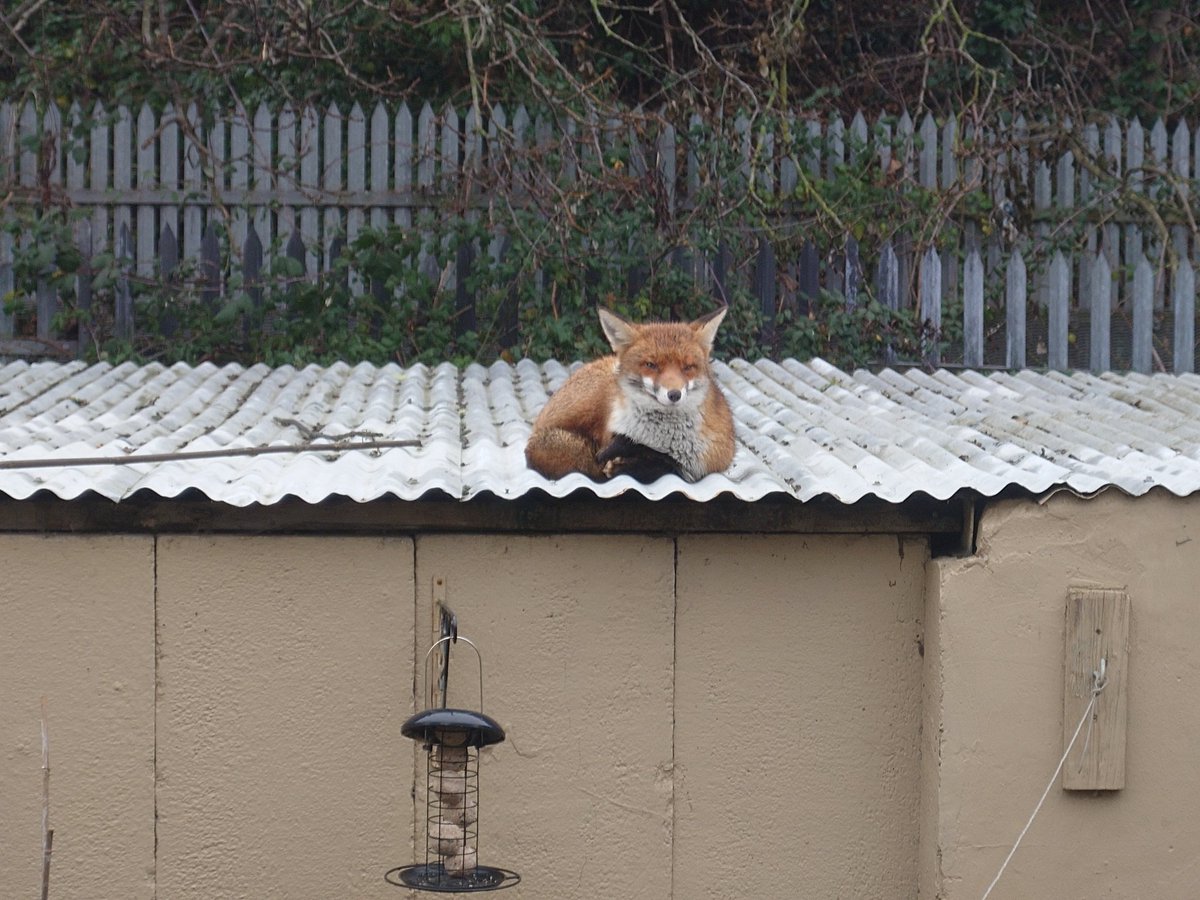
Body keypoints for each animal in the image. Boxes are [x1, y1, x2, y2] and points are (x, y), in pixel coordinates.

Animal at [525, 306, 736, 483]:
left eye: (688, 367)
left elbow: (665, 464)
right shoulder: (609, 435)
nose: (674, 394)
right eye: (651, 365)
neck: (661, 438)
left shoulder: (704, 462)